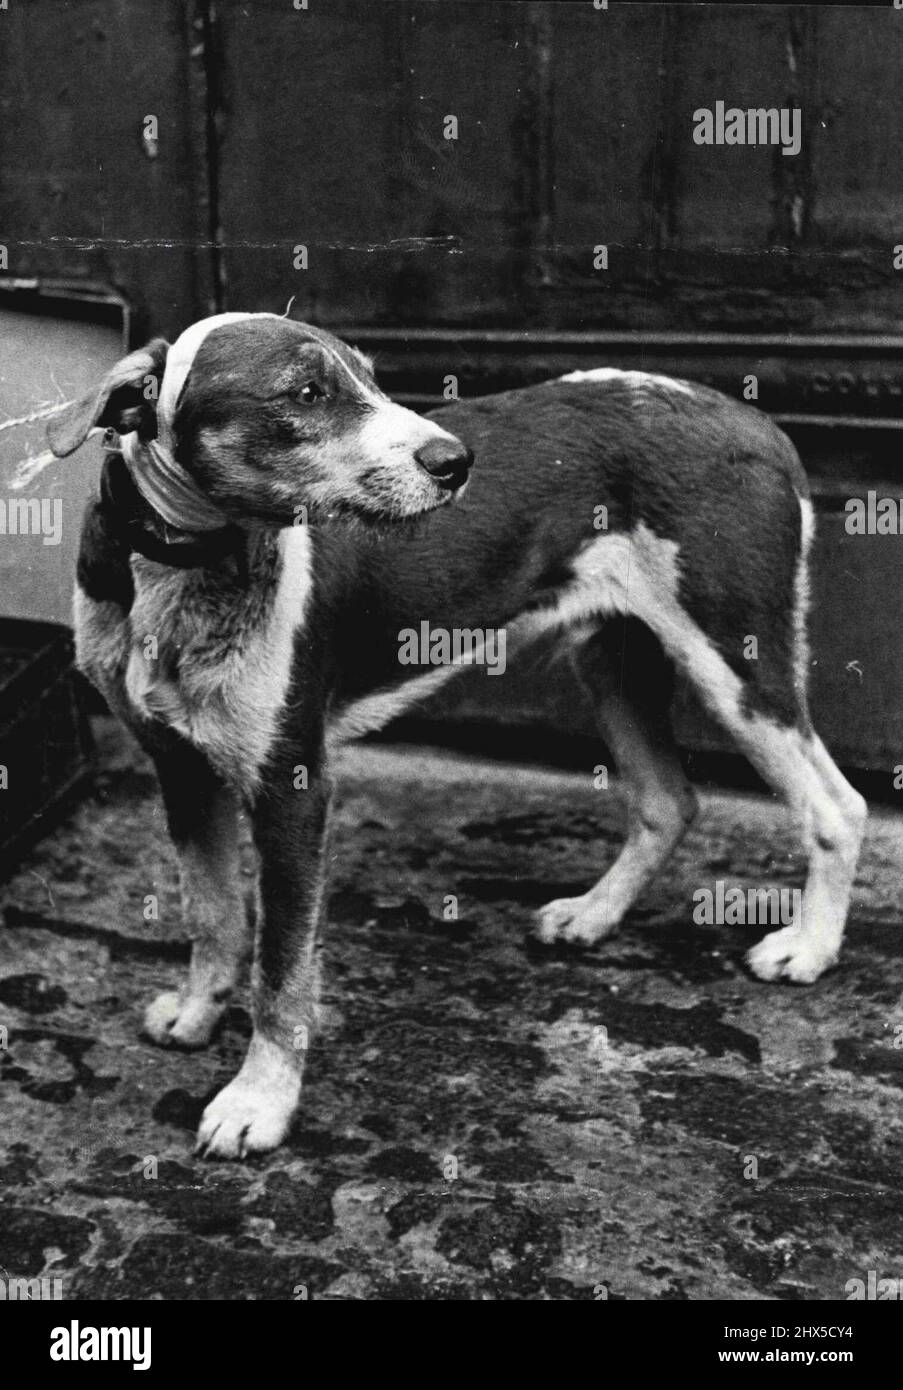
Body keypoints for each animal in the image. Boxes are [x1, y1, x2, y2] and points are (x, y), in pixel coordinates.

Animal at [43, 315, 866, 1162]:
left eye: (371, 376)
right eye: (306, 392)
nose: (453, 462)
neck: (185, 564)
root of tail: (756, 422)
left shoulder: (293, 790)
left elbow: (281, 971)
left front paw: (258, 1102)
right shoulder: (181, 769)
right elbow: (211, 913)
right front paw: (197, 1012)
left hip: (735, 660)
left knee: (836, 806)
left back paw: (806, 949)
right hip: (612, 658)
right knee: (667, 800)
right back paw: (593, 914)